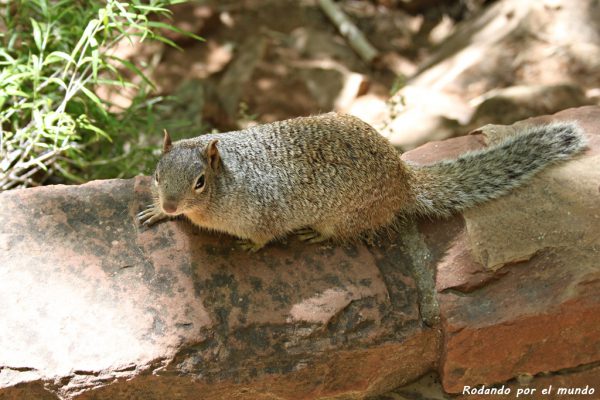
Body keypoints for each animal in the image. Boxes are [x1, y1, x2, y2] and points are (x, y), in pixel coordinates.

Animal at [137, 111, 584, 250]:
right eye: (157, 175)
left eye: (199, 182)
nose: (172, 204)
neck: (226, 183)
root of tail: (403, 180)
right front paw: (156, 214)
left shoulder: (263, 214)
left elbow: (265, 236)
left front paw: (249, 247)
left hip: (346, 217)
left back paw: (319, 235)